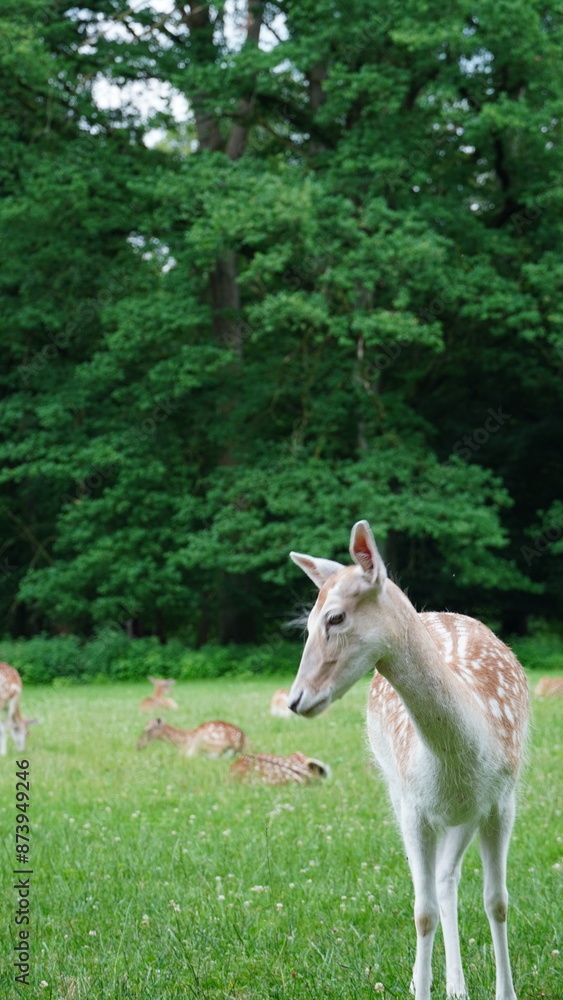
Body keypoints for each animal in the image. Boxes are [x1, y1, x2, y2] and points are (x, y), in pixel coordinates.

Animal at [287, 520, 529, 1000]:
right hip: (399, 792)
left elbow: (498, 902)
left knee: (448, 877)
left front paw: (505, 992)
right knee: (438, 884)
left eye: (335, 617)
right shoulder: (415, 807)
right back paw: (445, 982)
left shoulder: (500, 802)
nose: (295, 699)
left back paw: (456, 985)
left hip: (467, 814)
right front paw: (421, 985)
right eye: (305, 623)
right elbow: (422, 911)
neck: (458, 761)